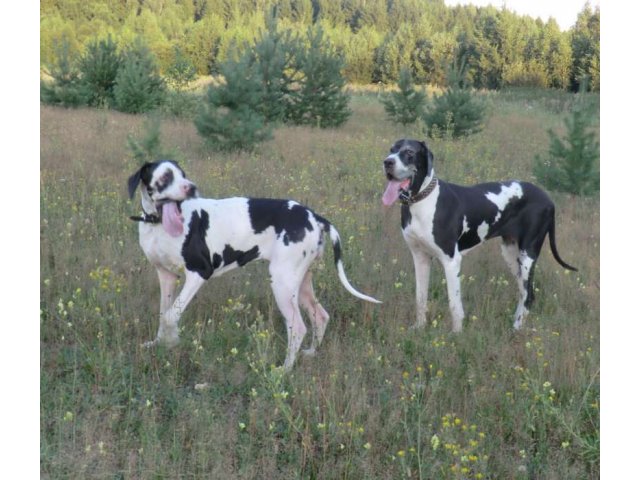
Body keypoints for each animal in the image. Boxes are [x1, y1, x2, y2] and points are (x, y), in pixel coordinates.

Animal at [129, 161, 380, 372]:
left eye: (183, 174)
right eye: (166, 176)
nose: (192, 188)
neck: (157, 224)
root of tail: (315, 217)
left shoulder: (199, 273)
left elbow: (170, 316)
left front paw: (172, 343)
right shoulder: (166, 276)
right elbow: (164, 313)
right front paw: (159, 344)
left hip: (282, 284)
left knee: (298, 327)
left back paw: (284, 370)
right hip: (300, 284)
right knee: (320, 316)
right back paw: (310, 352)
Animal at [382, 139, 576, 332]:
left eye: (409, 152)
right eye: (391, 149)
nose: (387, 162)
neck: (422, 201)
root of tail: (548, 199)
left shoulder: (451, 261)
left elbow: (454, 304)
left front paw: (456, 334)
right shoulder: (420, 257)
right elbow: (420, 298)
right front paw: (419, 327)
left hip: (528, 255)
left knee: (529, 295)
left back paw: (516, 329)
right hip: (511, 254)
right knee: (523, 292)